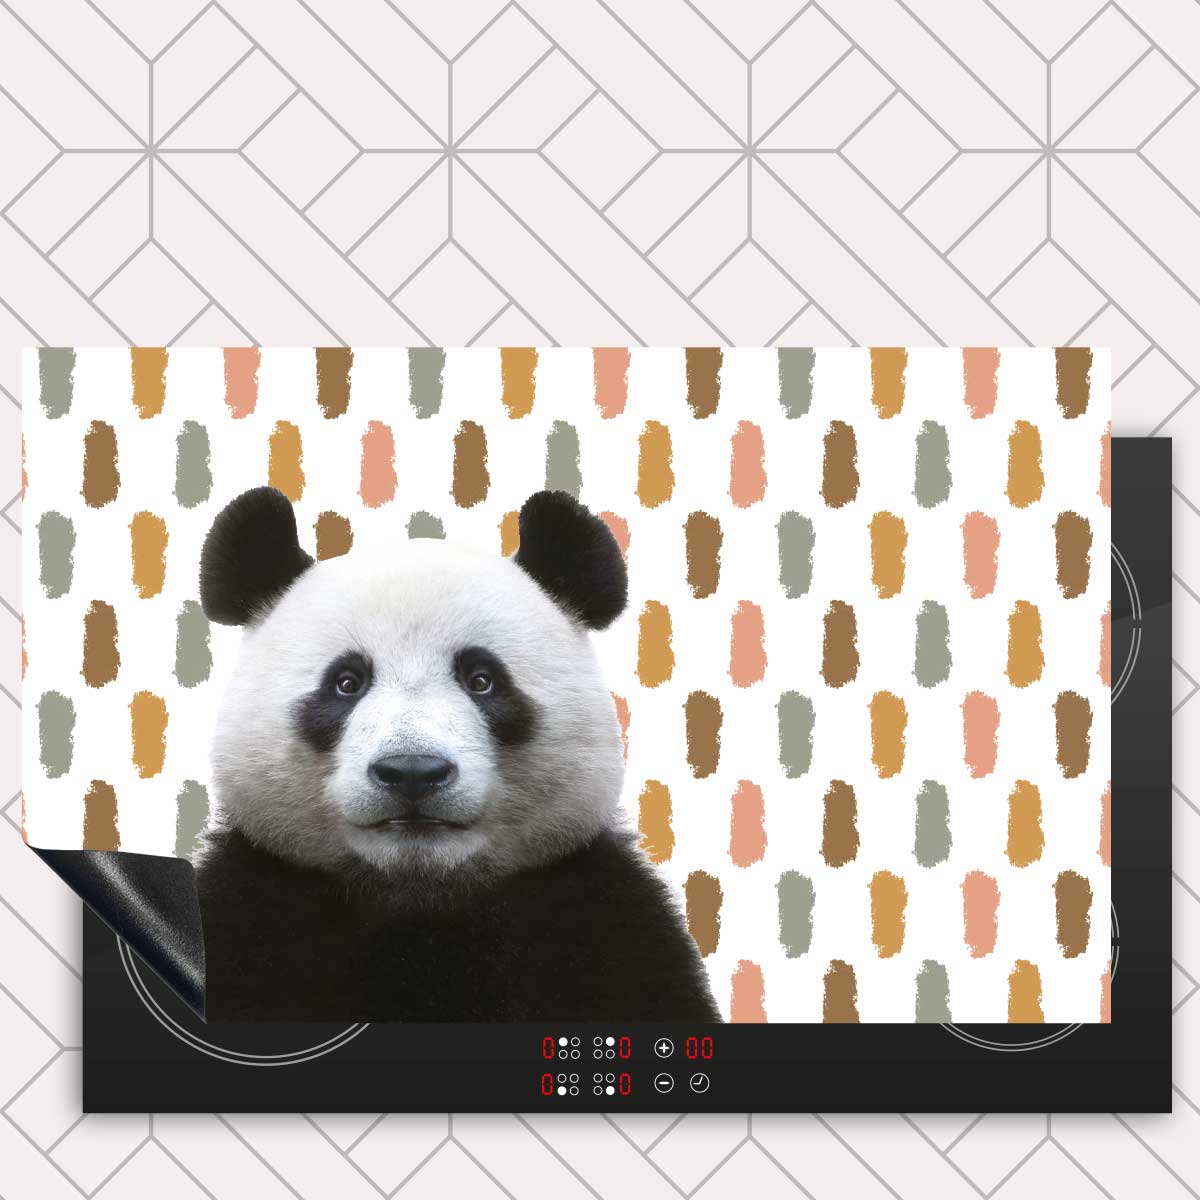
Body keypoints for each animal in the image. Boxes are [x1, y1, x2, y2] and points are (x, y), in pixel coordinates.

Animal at [193, 486, 721, 1024]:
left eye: (482, 680)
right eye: (346, 683)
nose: (412, 773)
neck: (420, 899)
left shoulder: (602, 922)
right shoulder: (250, 915)